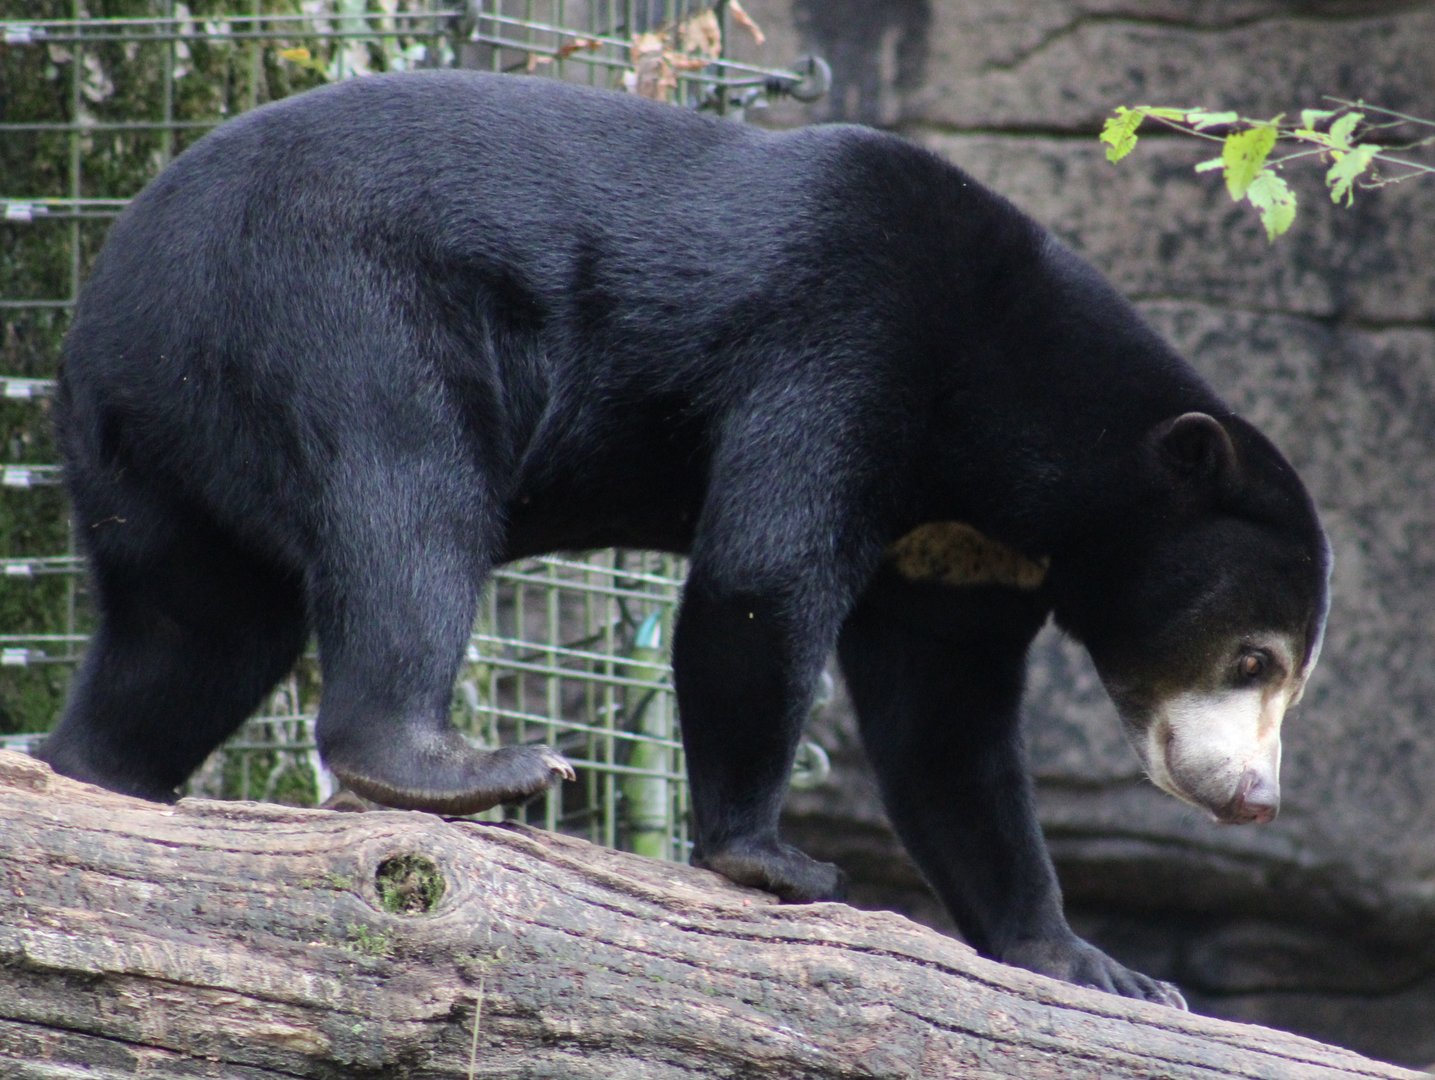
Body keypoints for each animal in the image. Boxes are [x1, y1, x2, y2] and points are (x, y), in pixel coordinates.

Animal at [38, 69, 1331, 1009]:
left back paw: (89, 775)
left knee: (187, 631)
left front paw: (1099, 966)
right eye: (1252, 659)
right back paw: (466, 765)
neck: (1007, 417)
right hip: (334, 309)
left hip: (161, 442)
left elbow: (946, 723)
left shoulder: (965, 544)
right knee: (407, 502)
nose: (1253, 797)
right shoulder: (846, 333)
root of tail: (112, 285)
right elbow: (763, 576)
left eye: (1287, 679)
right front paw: (773, 858)